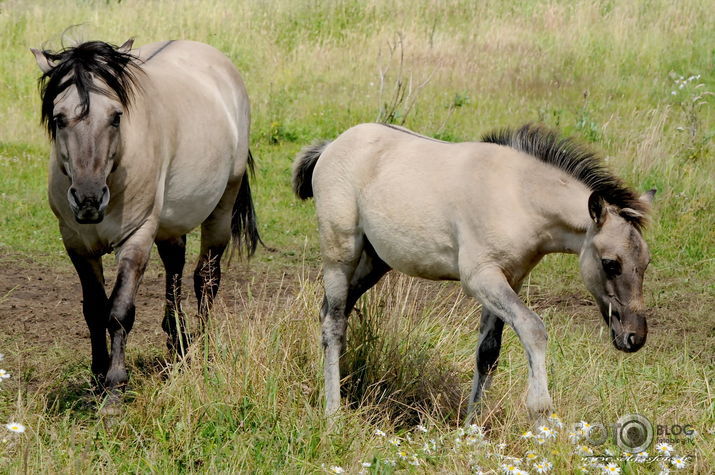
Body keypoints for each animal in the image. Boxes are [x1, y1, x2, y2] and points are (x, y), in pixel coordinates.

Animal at [32, 39, 260, 402]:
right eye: (59, 118)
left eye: (116, 117)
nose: (88, 198)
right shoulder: (76, 243)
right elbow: (93, 310)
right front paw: (97, 377)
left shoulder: (137, 237)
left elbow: (119, 311)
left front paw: (115, 387)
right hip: (170, 221)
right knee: (175, 264)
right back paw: (178, 343)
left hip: (222, 205)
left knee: (206, 278)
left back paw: (202, 351)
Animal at [292, 123, 656, 424]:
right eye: (611, 263)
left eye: (646, 263)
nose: (635, 337)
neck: (518, 194)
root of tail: (331, 145)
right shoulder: (480, 278)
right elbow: (533, 328)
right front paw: (540, 412)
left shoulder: (509, 279)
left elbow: (487, 353)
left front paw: (470, 430)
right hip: (341, 254)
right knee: (334, 324)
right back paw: (334, 414)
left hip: (374, 263)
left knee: (331, 312)